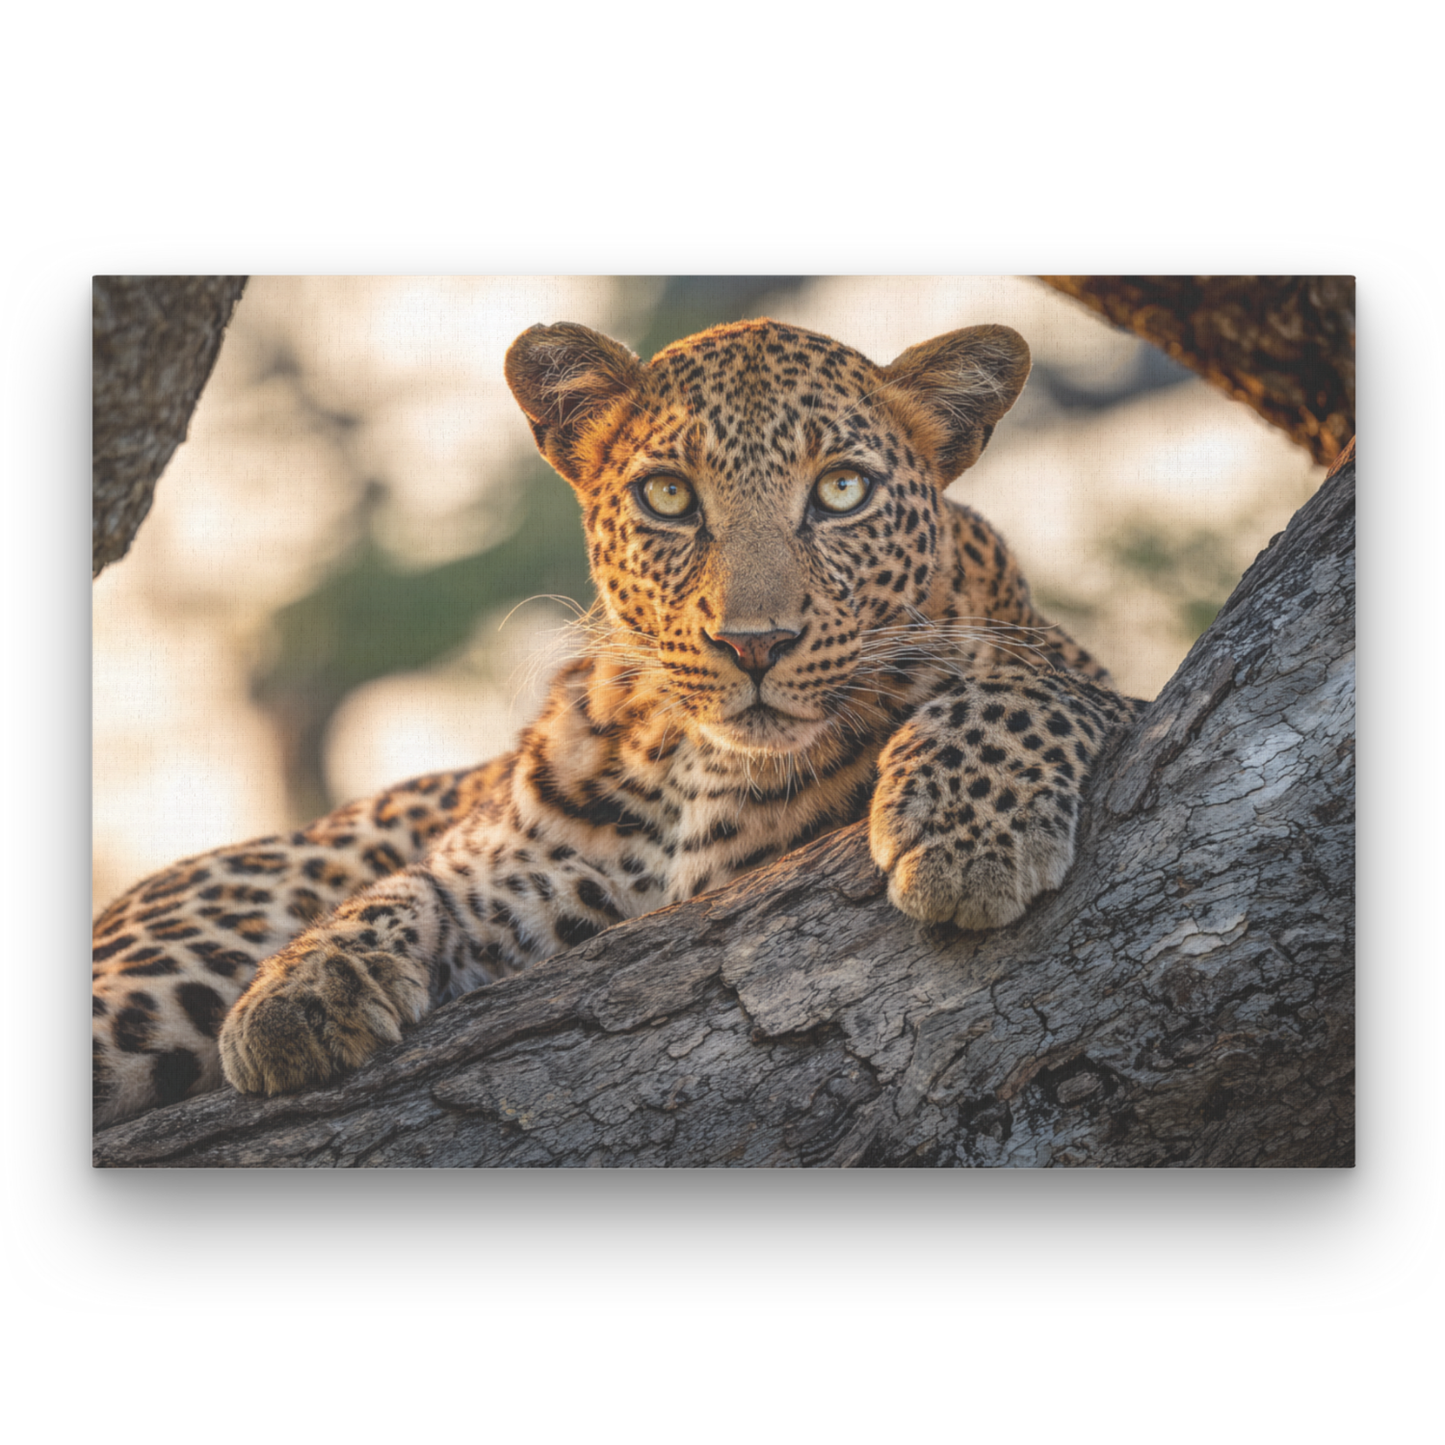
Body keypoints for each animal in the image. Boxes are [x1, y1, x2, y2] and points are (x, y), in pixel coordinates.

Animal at [92, 315, 1145, 1129]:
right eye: (667, 496)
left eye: (841, 490)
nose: (755, 644)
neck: (701, 769)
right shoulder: (517, 876)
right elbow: (412, 883)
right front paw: (299, 992)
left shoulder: (1089, 677)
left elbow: (1023, 678)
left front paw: (968, 841)